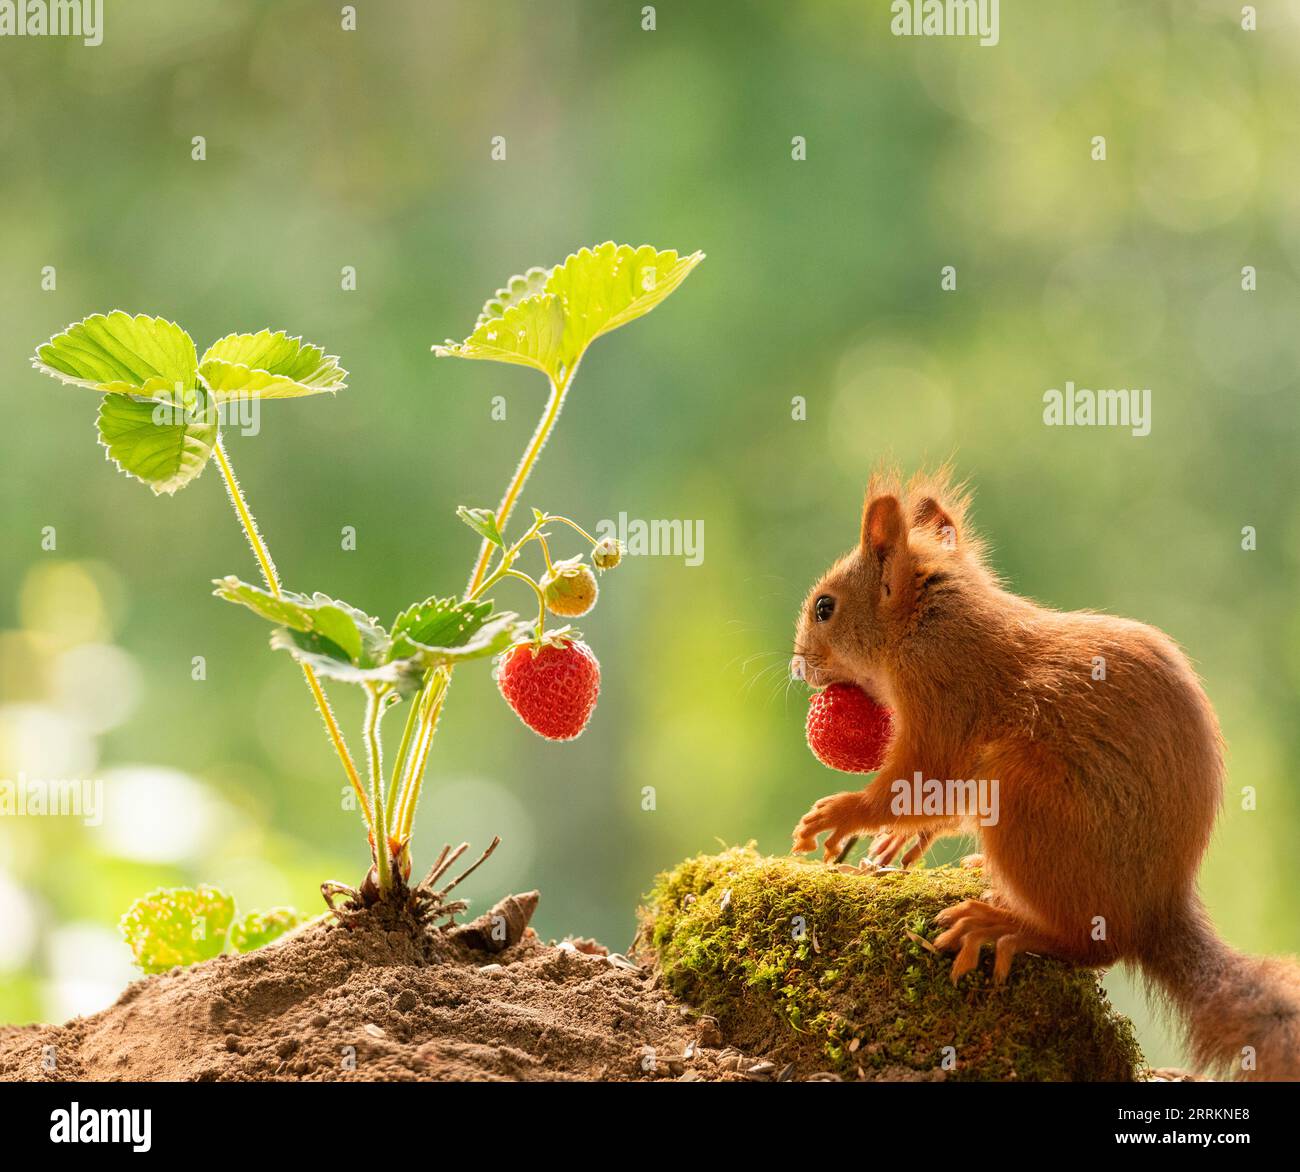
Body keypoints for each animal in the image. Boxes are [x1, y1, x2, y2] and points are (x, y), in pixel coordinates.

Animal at [790, 467, 1300, 1081]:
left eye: (825, 607)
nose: (797, 664)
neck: (924, 622)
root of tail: (1155, 911)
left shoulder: (943, 695)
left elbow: (922, 783)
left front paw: (845, 814)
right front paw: (898, 841)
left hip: (1027, 803)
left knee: (1094, 946)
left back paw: (1003, 925)